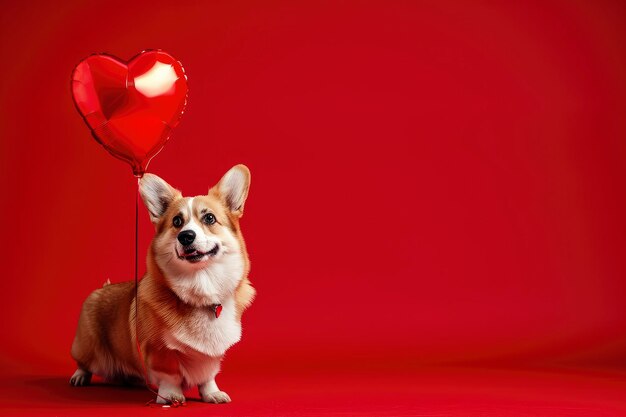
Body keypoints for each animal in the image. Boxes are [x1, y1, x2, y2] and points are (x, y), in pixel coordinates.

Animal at [68, 165, 254, 404]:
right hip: (87, 347)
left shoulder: (212, 355)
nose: (186, 236)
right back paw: (79, 376)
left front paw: (212, 393)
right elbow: (170, 376)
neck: (201, 288)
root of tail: (102, 288)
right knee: (84, 363)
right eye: (177, 222)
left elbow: (208, 376)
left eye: (210, 218)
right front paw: (171, 396)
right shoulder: (159, 351)